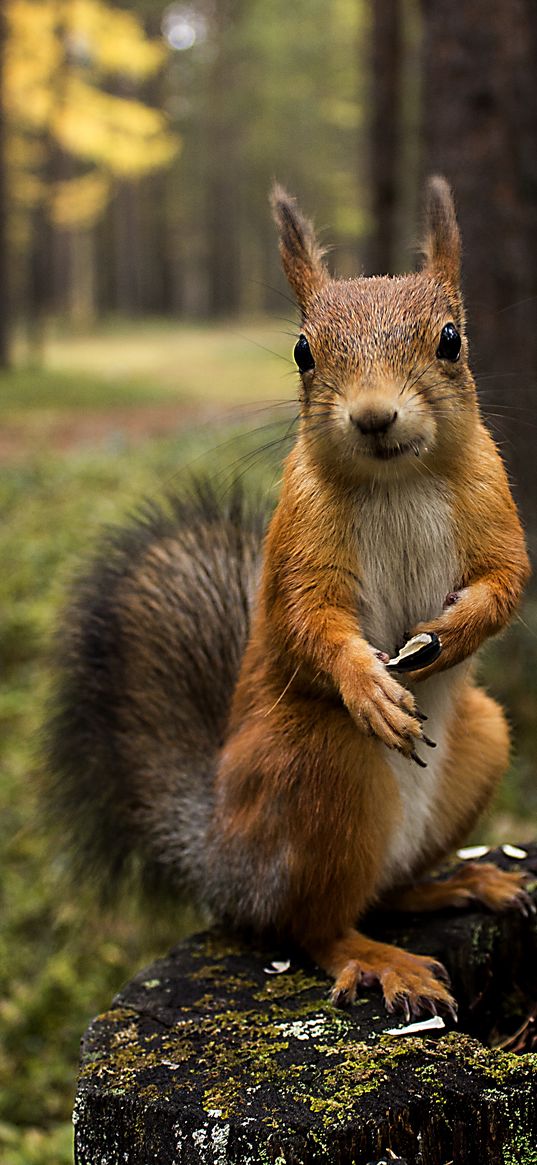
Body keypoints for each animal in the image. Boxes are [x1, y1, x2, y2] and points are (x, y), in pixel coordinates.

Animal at [46, 177, 526, 1025]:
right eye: (303, 351)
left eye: (450, 339)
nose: (373, 416)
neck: (397, 479)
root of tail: (223, 862)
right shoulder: (300, 540)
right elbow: (309, 620)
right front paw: (368, 683)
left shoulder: (493, 504)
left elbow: (506, 580)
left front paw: (454, 631)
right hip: (318, 767)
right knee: (313, 923)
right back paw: (379, 958)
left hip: (482, 740)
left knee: (385, 890)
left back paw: (461, 881)